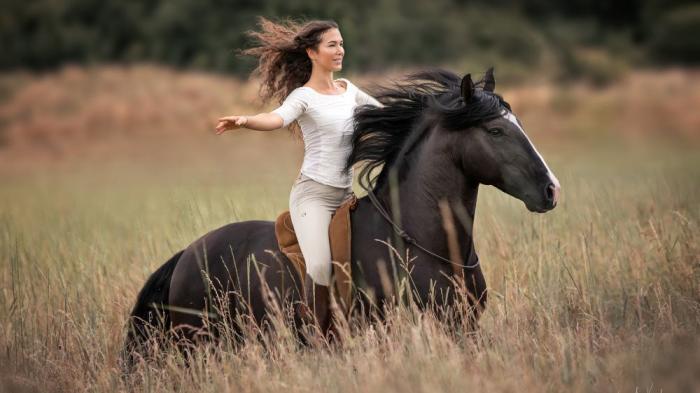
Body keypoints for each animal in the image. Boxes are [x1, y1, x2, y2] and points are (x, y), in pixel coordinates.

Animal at [123, 66, 560, 362]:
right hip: (198, 345)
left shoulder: (463, 329)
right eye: (495, 131)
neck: (424, 244)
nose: (551, 190)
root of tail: (186, 256)